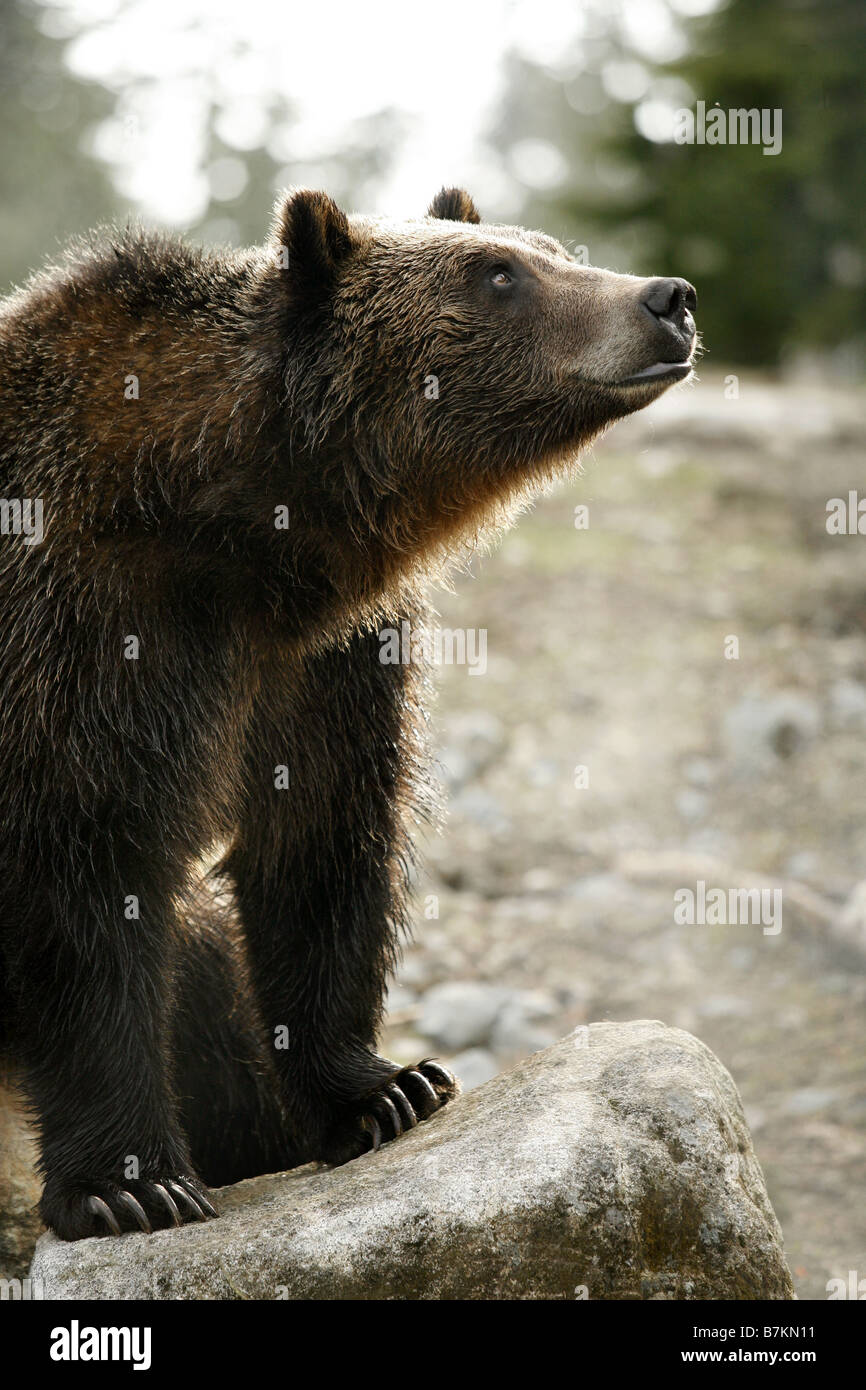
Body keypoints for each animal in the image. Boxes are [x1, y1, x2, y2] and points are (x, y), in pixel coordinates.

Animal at [0, 186, 697, 1239]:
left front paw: (383, 1090)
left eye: (547, 247)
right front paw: (131, 1184)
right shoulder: (84, 625)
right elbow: (87, 877)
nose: (668, 298)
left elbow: (320, 840)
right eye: (499, 274)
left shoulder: (321, 661)